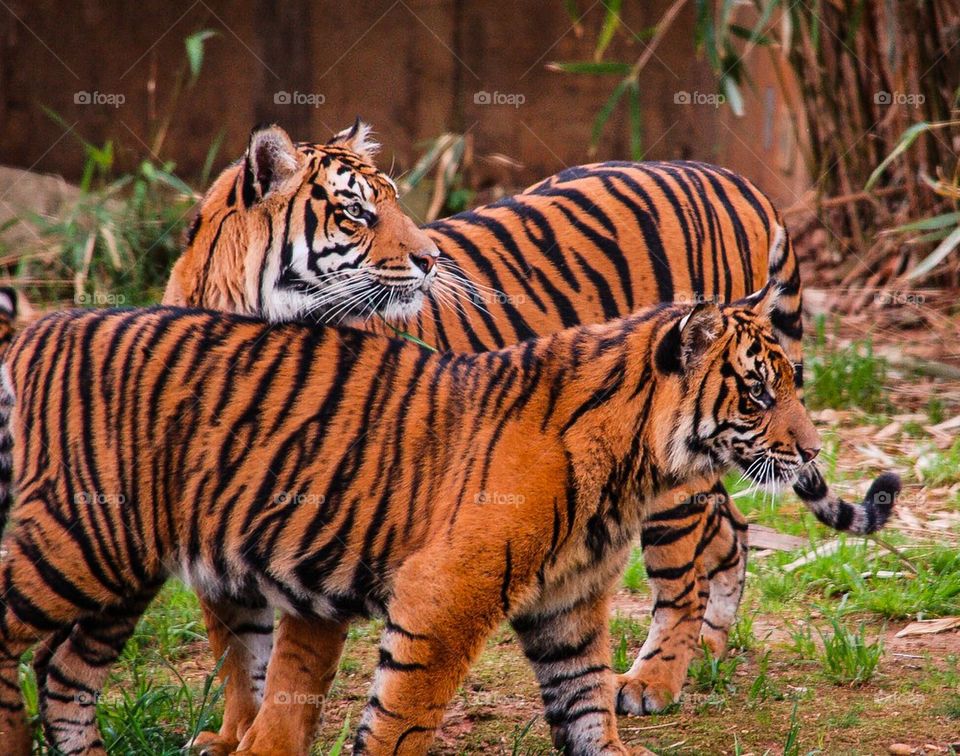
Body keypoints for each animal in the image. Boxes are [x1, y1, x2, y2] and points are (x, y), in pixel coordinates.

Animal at [3, 286, 848, 752]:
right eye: (759, 394)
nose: (813, 449)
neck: (636, 469)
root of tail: (45, 326)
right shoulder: (445, 597)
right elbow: (403, 716)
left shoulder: (567, 602)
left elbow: (585, 701)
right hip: (78, 541)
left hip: (123, 569)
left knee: (64, 673)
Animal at [158, 124, 900, 752]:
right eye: (357, 214)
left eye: (393, 203)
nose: (431, 261)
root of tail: (734, 178)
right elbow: (237, 651)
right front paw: (230, 736)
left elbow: (289, 665)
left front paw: (263, 740)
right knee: (733, 528)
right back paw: (709, 652)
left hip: (674, 471)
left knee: (686, 567)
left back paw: (652, 680)